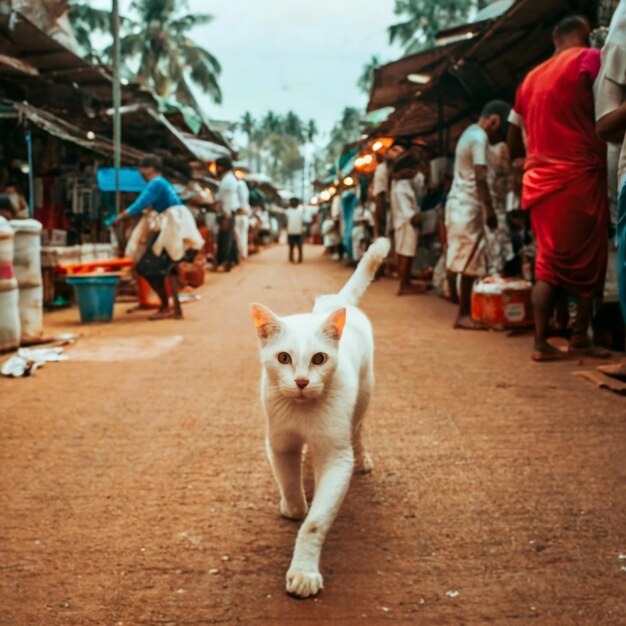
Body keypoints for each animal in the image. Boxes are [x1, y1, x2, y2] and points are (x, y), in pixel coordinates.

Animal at [250, 235, 388, 596]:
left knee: (358, 429)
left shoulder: (337, 457)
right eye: (283, 358)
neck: (302, 412)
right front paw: (292, 505)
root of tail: (337, 300)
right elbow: (291, 488)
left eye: (319, 359)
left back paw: (364, 458)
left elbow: (314, 523)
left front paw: (303, 574)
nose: (301, 382)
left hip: (364, 397)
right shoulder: (280, 443)